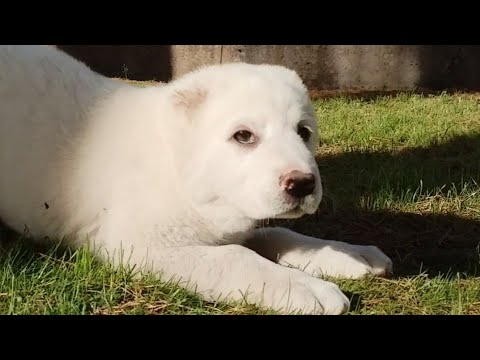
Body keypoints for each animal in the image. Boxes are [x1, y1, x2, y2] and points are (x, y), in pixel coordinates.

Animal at [0, 45, 394, 316]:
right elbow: (236, 258)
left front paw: (349, 253)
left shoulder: (234, 218)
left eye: (304, 132)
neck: (181, 168)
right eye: (243, 136)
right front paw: (308, 288)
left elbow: (277, 233)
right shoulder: (140, 244)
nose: (303, 184)